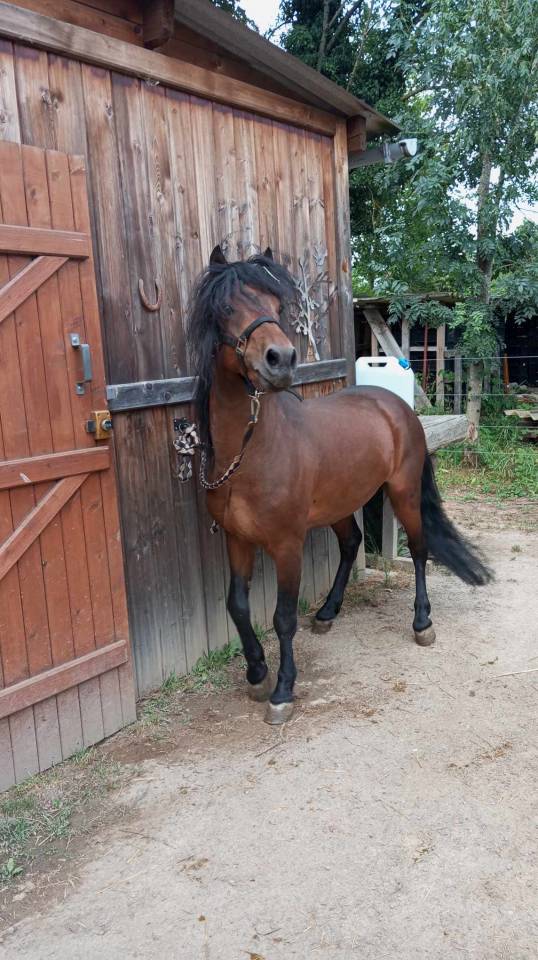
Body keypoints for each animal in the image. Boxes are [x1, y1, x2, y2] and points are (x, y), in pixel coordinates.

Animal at [186, 246, 492, 724]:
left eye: (276, 306)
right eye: (226, 308)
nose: (280, 358)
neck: (251, 453)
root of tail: (395, 406)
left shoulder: (287, 545)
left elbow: (283, 618)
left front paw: (282, 690)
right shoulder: (237, 540)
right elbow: (237, 605)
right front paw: (256, 672)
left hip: (403, 493)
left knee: (419, 550)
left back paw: (422, 623)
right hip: (341, 503)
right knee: (351, 544)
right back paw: (329, 612)